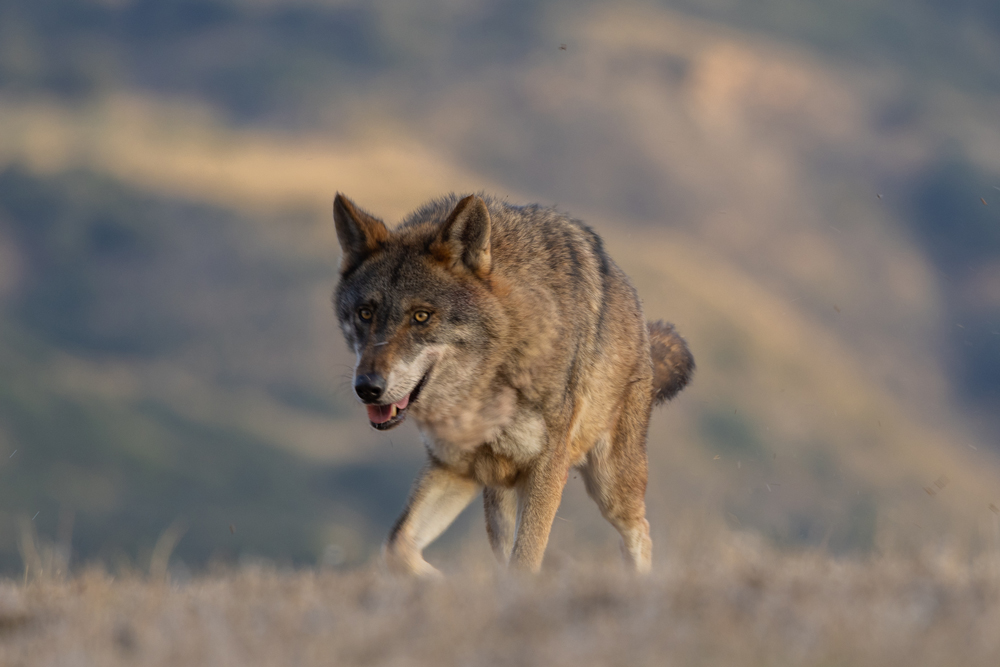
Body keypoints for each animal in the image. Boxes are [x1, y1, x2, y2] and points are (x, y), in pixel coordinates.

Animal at [332, 193, 694, 575]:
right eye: (365, 313)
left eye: (421, 316)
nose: (367, 387)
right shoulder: (455, 467)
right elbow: (395, 547)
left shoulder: (547, 469)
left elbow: (526, 560)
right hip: (498, 497)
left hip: (611, 485)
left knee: (640, 531)